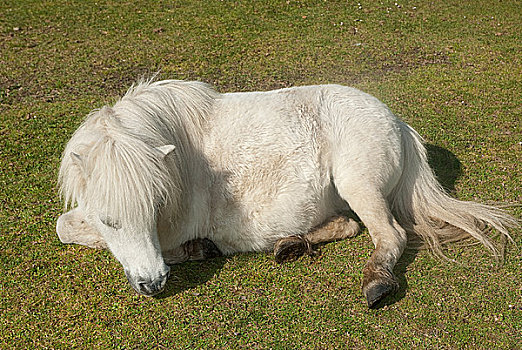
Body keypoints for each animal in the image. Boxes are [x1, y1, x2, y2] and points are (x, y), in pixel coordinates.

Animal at [58, 79, 516, 306]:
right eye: (112, 219)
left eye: (154, 208)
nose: (152, 284)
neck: (179, 153)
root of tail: (398, 122)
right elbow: (69, 225)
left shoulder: (167, 228)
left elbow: (69, 227)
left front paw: (195, 249)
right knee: (348, 226)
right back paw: (290, 244)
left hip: (358, 184)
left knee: (390, 235)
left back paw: (376, 282)